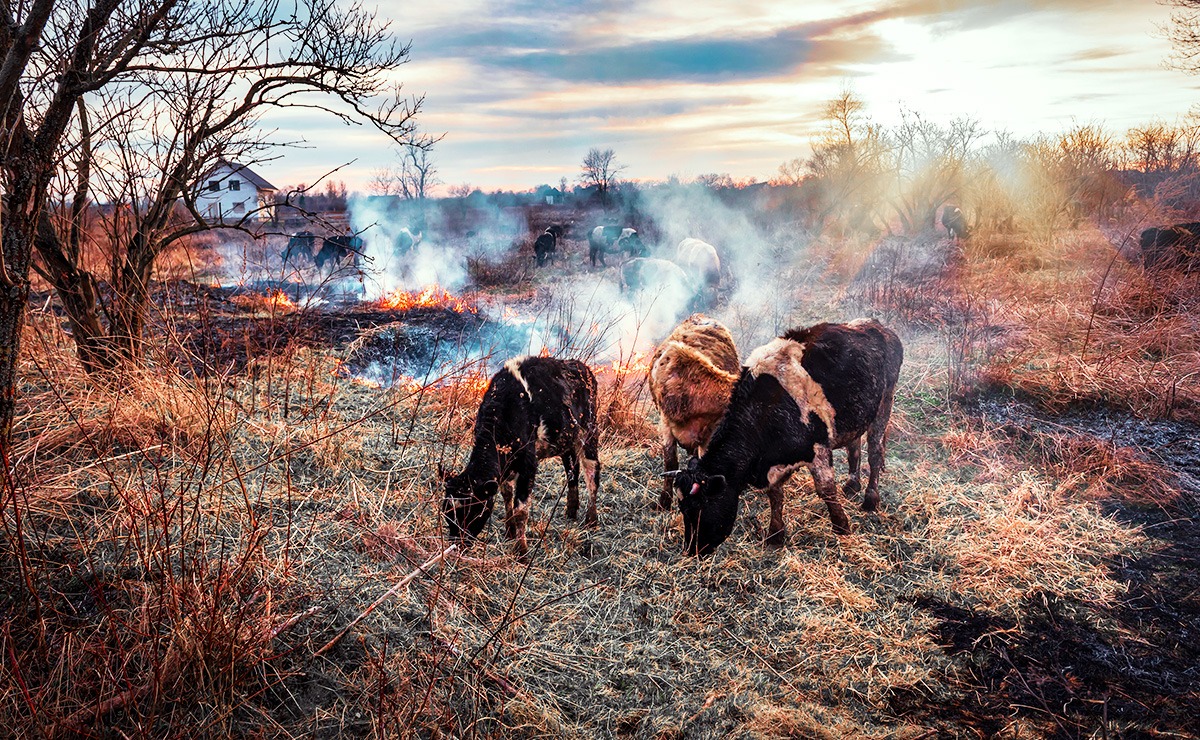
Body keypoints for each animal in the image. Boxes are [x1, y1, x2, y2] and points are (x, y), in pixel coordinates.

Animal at [441, 355, 600, 551]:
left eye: (473, 510)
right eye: (447, 512)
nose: (457, 544)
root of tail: (580, 365)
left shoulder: (528, 463)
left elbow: (521, 510)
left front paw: (521, 550)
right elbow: (507, 494)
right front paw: (509, 531)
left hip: (589, 432)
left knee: (592, 472)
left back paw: (591, 519)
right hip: (566, 438)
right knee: (572, 467)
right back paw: (571, 509)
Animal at [672, 316, 902, 554]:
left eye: (699, 507)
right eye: (681, 507)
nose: (692, 549)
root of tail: (876, 324)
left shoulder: (818, 448)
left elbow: (826, 489)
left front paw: (842, 526)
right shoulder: (772, 465)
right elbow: (775, 495)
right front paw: (775, 534)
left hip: (884, 404)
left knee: (875, 453)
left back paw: (870, 499)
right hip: (855, 415)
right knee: (854, 447)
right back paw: (852, 485)